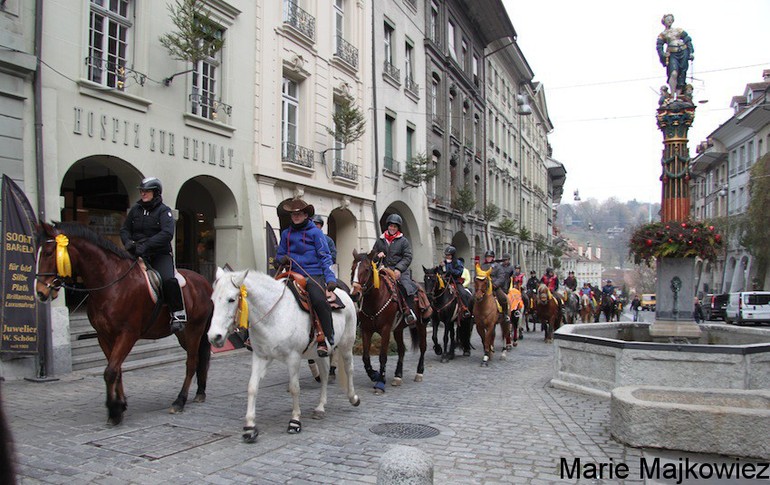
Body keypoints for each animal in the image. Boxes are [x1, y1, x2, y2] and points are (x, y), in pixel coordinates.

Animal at [35, 223, 212, 424]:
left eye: (49, 253)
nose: (40, 292)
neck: (112, 283)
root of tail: (204, 282)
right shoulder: (104, 336)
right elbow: (116, 370)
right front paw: (120, 405)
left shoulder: (127, 334)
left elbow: (110, 371)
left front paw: (114, 410)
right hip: (182, 333)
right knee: (198, 359)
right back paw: (200, 392)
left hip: (195, 330)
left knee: (192, 362)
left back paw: (179, 401)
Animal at [206, 266, 358, 440]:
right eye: (212, 299)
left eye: (231, 299)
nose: (214, 337)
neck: (274, 315)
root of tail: (344, 292)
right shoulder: (260, 356)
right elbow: (252, 387)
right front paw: (250, 427)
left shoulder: (293, 358)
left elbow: (294, 388)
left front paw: (295, 421)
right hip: (318, 353)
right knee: (325, 375)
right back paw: (320, 408)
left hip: (347, 344)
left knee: (349, 368)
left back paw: (353, 397)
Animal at [348, 250, 426, 394]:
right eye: (352, 269)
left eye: (366, 269)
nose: (354, 294)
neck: (375, 300)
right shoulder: (366, 330)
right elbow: (365, 357)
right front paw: (374, 375)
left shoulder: (385, 330)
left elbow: (383, 356)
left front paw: (380, 382)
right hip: (398, 330)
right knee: (401, 350)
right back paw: (397, 376)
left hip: (421, 325)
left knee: (423, 347)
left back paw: (419, 373)